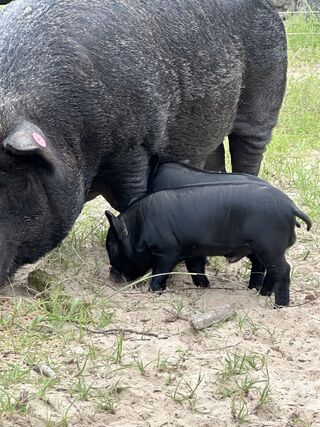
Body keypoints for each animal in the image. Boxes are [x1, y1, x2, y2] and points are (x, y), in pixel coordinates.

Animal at [106, 184, 312, 308]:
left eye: (113, 248)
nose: (111, 277)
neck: (138, 228)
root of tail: (291, 207)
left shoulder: (167, 251)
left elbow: (160, 271)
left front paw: (154, 290)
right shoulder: (193, 250)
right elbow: (196, 267)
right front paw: (204, 286)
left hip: (270, 246)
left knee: (283, 269)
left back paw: (279, 305)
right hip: (261, 248)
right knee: (267, 268)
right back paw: (259, 293)